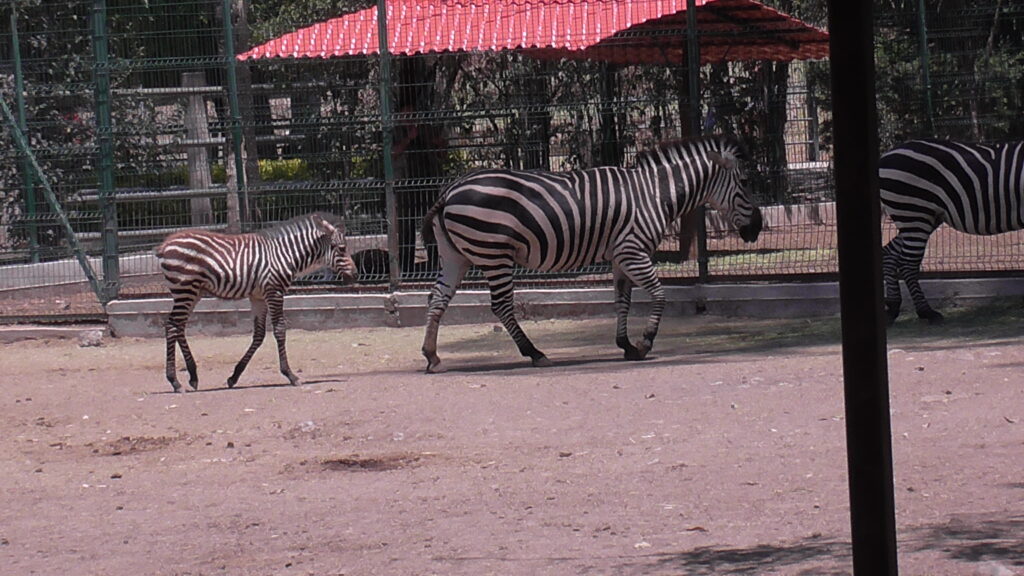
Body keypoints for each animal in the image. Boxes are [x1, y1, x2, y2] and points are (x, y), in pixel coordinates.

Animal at [156, 212, 358, 392]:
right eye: (341, 248)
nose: (355, 275)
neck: (285, 255)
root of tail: (165, 245)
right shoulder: (274, 291)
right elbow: (280, 329)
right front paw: (290, 375)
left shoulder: (259, 297)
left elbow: (259, 334)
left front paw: (234, 376)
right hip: (185, 290)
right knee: (172, 325)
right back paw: (175, 382)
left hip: (193, 292)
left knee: (179, 326)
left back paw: (193, 376)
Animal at [420, 135, 764, 373]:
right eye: (746, 182)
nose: (757, 228)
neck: (654, 194)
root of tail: (450, 190)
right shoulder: (634, 250)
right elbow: (659, 295)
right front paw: (645, 342)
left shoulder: (621, 256)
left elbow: (622, 300)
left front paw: (625, 345)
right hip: (495, 254)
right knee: (501, 306)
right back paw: (535, 353)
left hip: (456, 256)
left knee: (438, 298)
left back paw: (432, 355)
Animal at [880, 139, 1024, 324]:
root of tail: (886, 155)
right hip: (914, 213)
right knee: (908, 263)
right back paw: (926, 312)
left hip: (921, 218)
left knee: (889, 254)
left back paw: (893, 308)